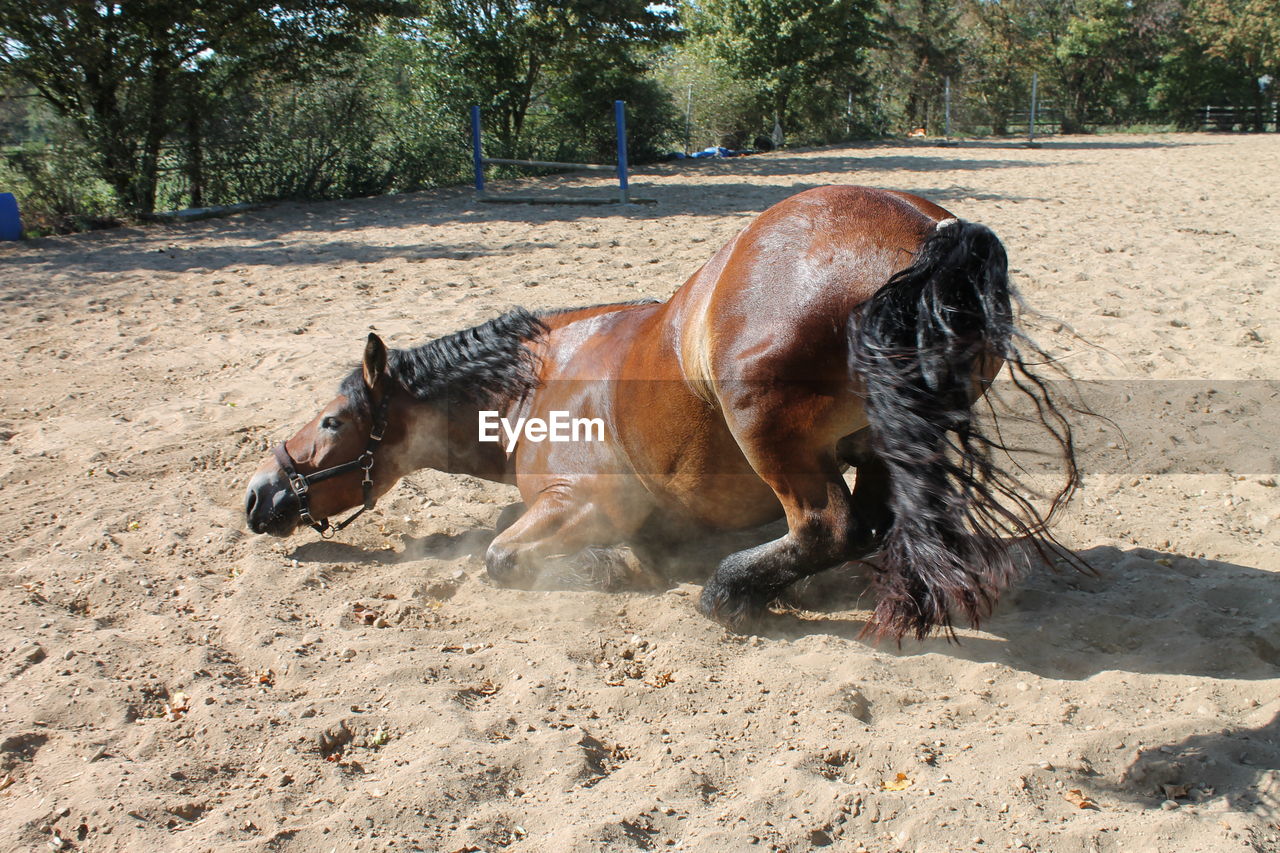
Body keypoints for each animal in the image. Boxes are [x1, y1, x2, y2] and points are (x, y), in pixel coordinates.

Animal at [241, 185, 1080, 637]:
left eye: (331, 421)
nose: (258, 495)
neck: (536, 383)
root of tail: (928, 229)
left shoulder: (579, 502)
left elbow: (502, 557)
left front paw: (615, 564)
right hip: (882, 443)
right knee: (872, 524)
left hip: (766, 426)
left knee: (829, 527)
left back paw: (730, 592)